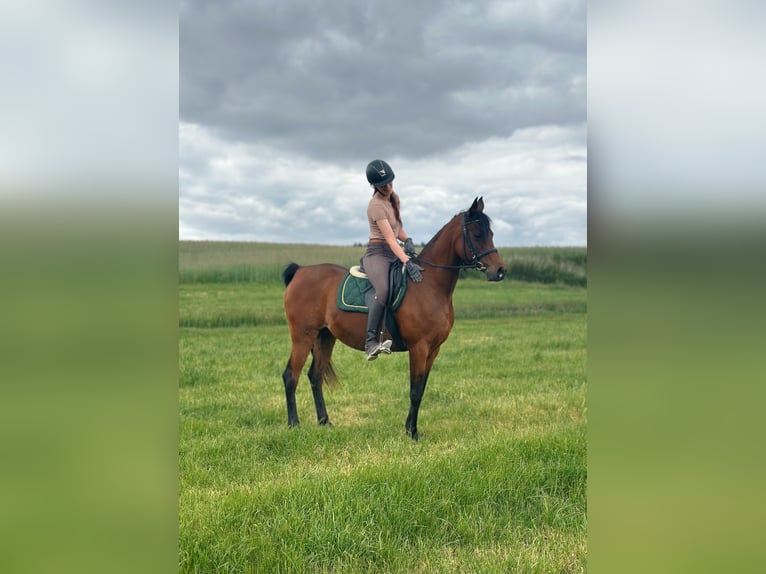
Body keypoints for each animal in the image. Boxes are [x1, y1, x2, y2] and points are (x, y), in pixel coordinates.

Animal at [281, 197, 506, 440]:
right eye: (477, 235)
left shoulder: (433, 349)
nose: (500, 270)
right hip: (302, 337)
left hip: (325, 337)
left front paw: (411, 428)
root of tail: (300, 271)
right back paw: (293, 424)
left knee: (315, 376)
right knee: (290, 375)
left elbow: (421, 388)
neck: (429, 285)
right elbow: (415, 390)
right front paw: (412, 433)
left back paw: (325, 422)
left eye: (491, 233)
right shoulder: (419, 347)